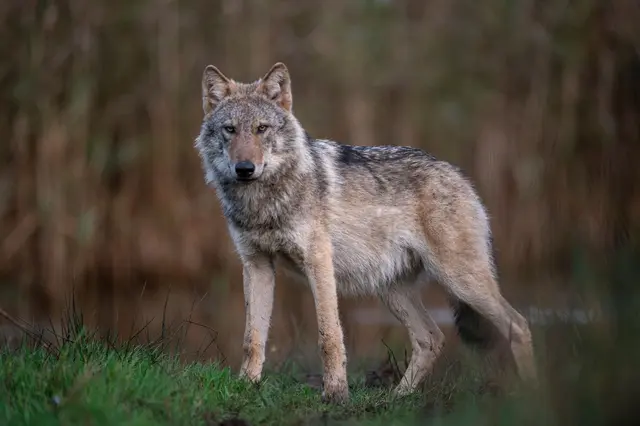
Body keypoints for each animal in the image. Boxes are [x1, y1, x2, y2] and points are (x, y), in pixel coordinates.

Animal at [194, 62, 537, 404]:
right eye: (230, 129)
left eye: (261, 129)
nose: (244, 168)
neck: (263, 203)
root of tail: (458, 174)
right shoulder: (256, 265)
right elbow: (252, 338)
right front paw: (246, 387)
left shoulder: (318, 262)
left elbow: (329, 337)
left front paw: (335, 394)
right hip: (392, 290)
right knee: (431, 338)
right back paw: (397, 397)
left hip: (461, 282)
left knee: (518, 325)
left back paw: (528, 395)